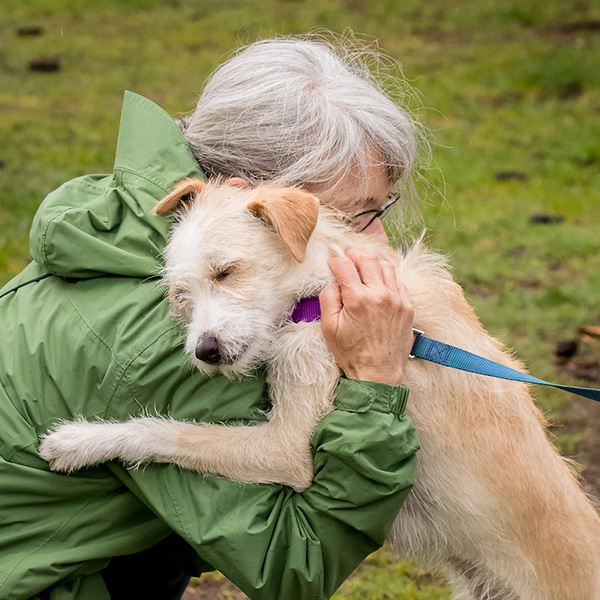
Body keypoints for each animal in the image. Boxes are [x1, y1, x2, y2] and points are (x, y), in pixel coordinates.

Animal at [39, 178, 600, 600]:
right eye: (180, 295)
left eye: (226, 271)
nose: (204, 351)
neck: (321, 291)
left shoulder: (285, 446)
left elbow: (169, 431)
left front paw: (81, 441)